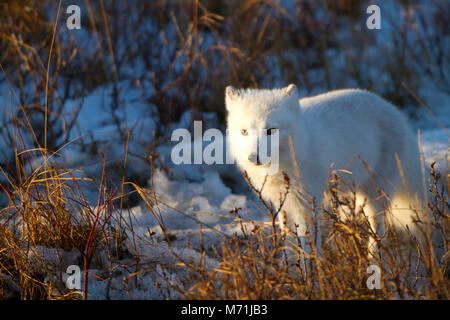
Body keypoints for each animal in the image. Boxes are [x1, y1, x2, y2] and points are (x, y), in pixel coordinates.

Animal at [225, 84, 426, 241]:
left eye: (270, 130)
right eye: (244, 131)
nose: (253, 158)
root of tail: (396, 112)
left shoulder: (305, 203)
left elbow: (308, 242)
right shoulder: (281, 203)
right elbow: (289, 243)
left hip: (375, 192)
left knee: (378, 230)